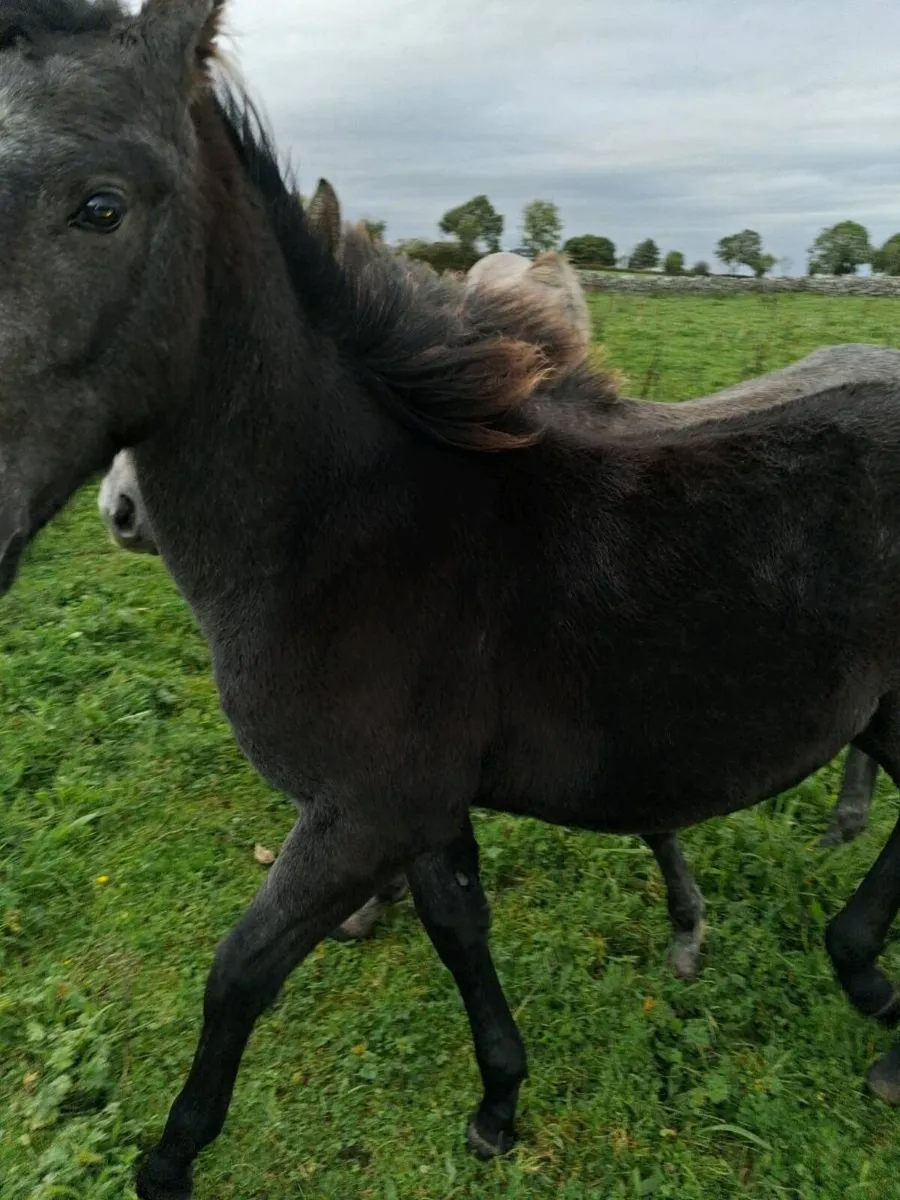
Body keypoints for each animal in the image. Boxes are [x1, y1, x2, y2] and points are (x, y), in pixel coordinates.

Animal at [3, 5, 900, 1198]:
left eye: (100, 205)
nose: (119, 516)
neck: (351, 530)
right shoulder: (419, 807)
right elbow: (459, 929)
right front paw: (500, 1101)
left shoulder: (361, 812)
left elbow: (240, 970)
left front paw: (170, 1158)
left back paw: (869, 991)